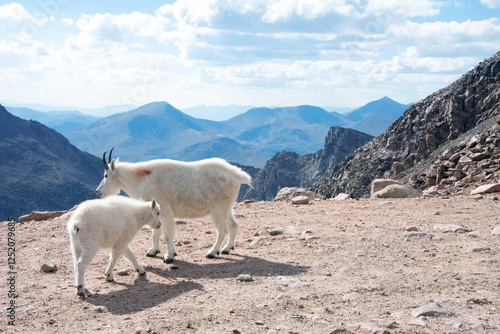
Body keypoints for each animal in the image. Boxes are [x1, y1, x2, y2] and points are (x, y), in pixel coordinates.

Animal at [95, 151, 252, 264]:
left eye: (106, 175)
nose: (98, 191)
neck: (141, 179)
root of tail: (238, 175)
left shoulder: (165, 209)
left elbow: (167, 233)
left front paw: (169, 256)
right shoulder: (154, 211)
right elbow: (155, 232)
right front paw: (153, 251)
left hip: (217, 208)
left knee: (222, 230)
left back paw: (212, 252)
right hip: (227, 206)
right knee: (233, 225)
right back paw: (227, 248)